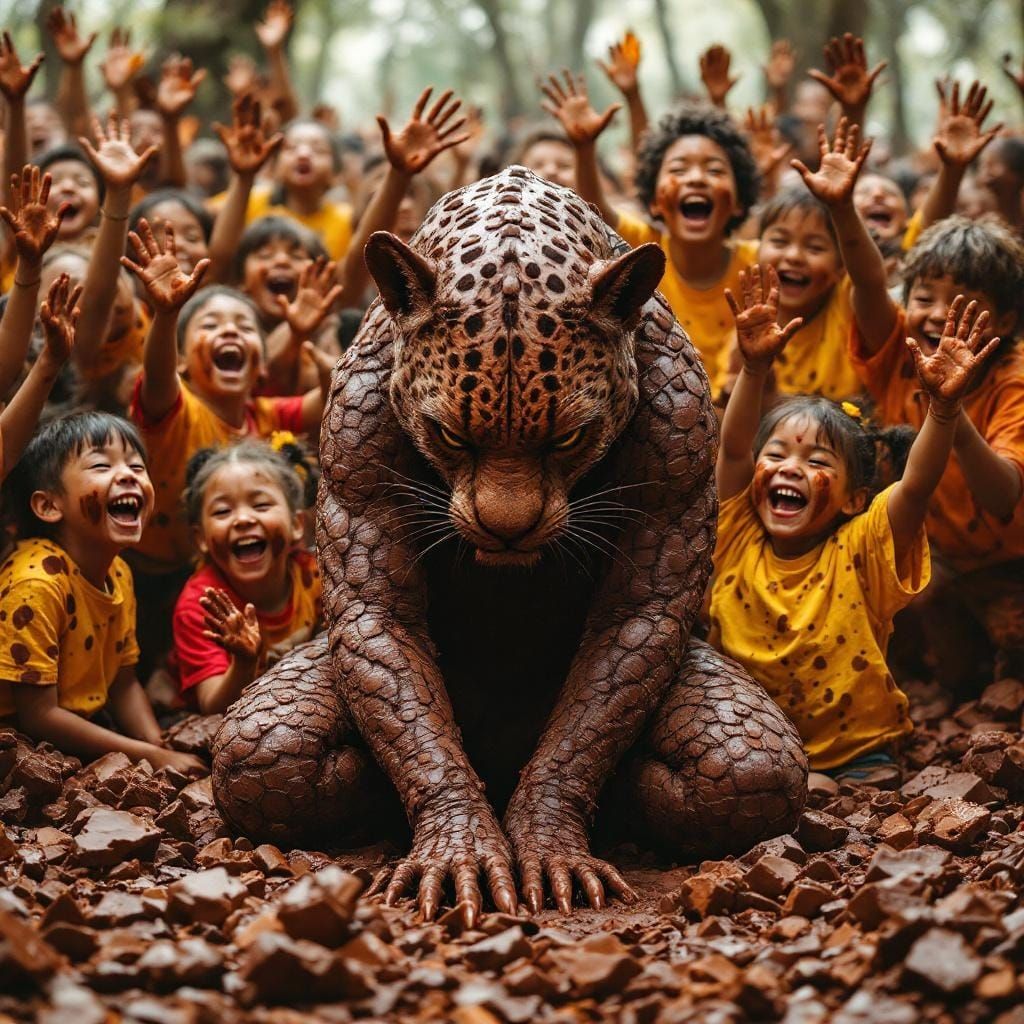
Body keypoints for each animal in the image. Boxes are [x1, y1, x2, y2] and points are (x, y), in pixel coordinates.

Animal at [211, 166, 807, 926]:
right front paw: (460, 843)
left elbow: (628, 633)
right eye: (451, 435)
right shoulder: (356, 435)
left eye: (569, 437)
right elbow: (384, 626)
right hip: (267, 748)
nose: (507, 527)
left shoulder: (681, 437)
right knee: (269, 753)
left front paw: (545, 841)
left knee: (746, 768)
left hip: (740, 763)